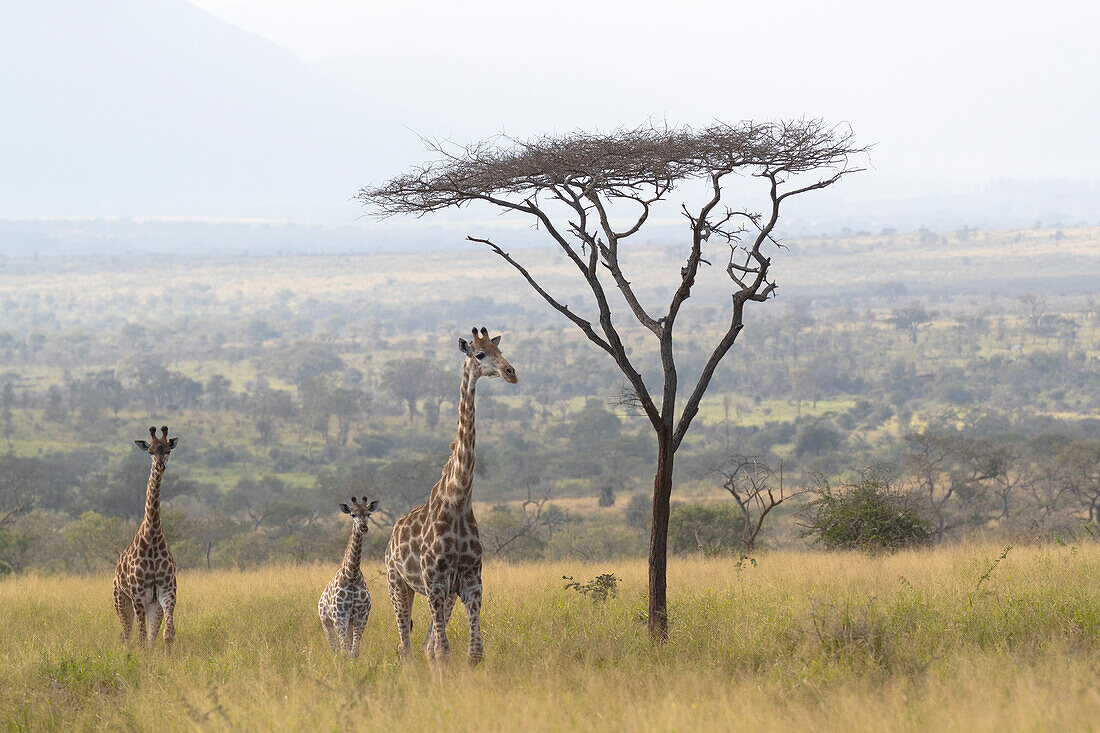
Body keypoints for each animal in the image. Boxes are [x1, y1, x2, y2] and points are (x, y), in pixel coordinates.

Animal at [113, 424, 178, 647]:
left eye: (168, 450)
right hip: (121, 601)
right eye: (150, 451)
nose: (160, 467)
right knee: (126, 636)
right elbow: (140, 638)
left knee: (149, 638)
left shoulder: (167, 593)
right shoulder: (138, 596)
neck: (152, 537)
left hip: (153, 605)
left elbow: (167, 635)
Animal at [321, 493, 380, 651]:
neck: (352, 576)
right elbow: (345, 650)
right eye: (353, 514)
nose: (363, 527)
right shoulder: (340, 615)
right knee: (335, 649)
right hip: (327, 622)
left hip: (349, 622)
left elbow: (354, 650)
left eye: (368, 513)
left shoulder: (361, 615)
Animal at [387, 325, 519, 660]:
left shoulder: (471, 582)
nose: (511, 373)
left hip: (442, 595)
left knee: (426, 646)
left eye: (500, 350)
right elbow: (443, 651)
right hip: (398, 585)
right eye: (480, 354)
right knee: (405, 645)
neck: (458, 500)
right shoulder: (434, 583)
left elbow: (473, 652)